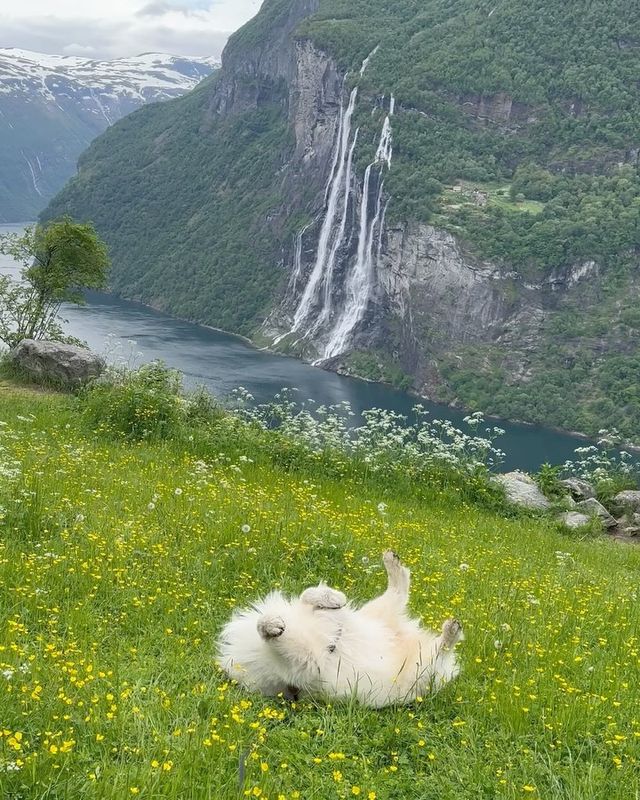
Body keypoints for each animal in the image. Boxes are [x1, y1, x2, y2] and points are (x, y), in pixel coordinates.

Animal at [218, 552, 462, 708]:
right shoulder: (308, 663)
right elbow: (271, 630)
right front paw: (272, 626)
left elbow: (308, 594)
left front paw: (332, 597)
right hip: (421, 668)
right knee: (440, 648)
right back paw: (451, 631)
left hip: (375, 614)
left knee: (398, 590)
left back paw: (392, 563)